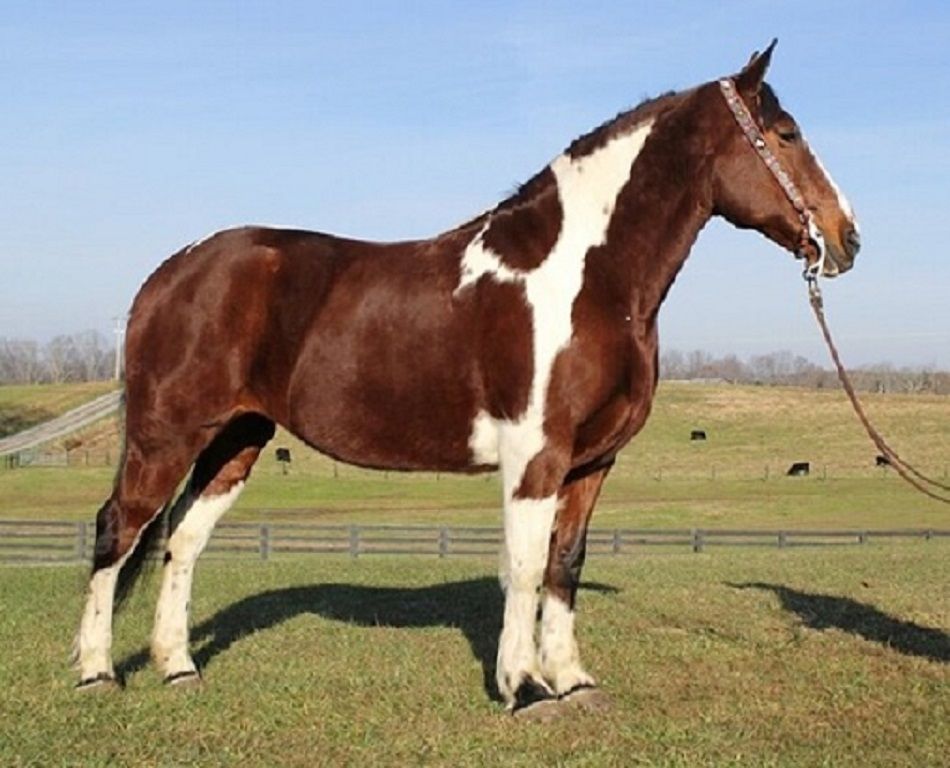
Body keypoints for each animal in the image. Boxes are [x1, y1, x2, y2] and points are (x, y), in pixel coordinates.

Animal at [74, 41, 860, 718]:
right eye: (786, 133)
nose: (846, 238)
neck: (587, 279)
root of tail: (173, 270)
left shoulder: (592, 462)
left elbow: (564, 564)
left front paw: (574, 680)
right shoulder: (535, 456)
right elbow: (523, 564)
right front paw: (527, 687)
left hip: (236, 438)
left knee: (181, 540)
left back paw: (178, 668)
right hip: (165, 434)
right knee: (119, 528)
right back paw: (96, 673)